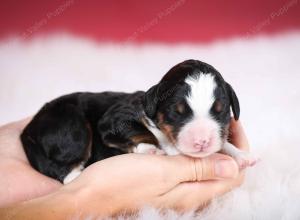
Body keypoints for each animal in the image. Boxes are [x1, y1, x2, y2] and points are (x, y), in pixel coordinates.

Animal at [21, 58, 256, 184]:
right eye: (176, 112)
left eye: (220, 112)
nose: (201, 142)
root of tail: (28, 130)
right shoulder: (113, 120)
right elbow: (141, 132)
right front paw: (154, 149)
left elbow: (223, 142)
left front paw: (241, 156)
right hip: (73, 127)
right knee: (65, 170)